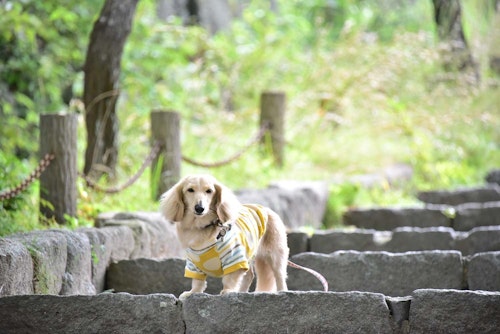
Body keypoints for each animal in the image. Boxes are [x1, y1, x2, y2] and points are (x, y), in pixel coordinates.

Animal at [160, 174, 328, 298]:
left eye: (209, 191)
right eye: (190, 190)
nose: (199, 208)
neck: (201, 227)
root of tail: (266, 208)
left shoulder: (234, 257)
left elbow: (230, 278)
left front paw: (228, 291)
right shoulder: (193, 263)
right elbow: (198, 282)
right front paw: (192, 293)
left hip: (275, 254)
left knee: (279, 275)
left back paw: (282, 291)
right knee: (249, 275)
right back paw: (241, 292)